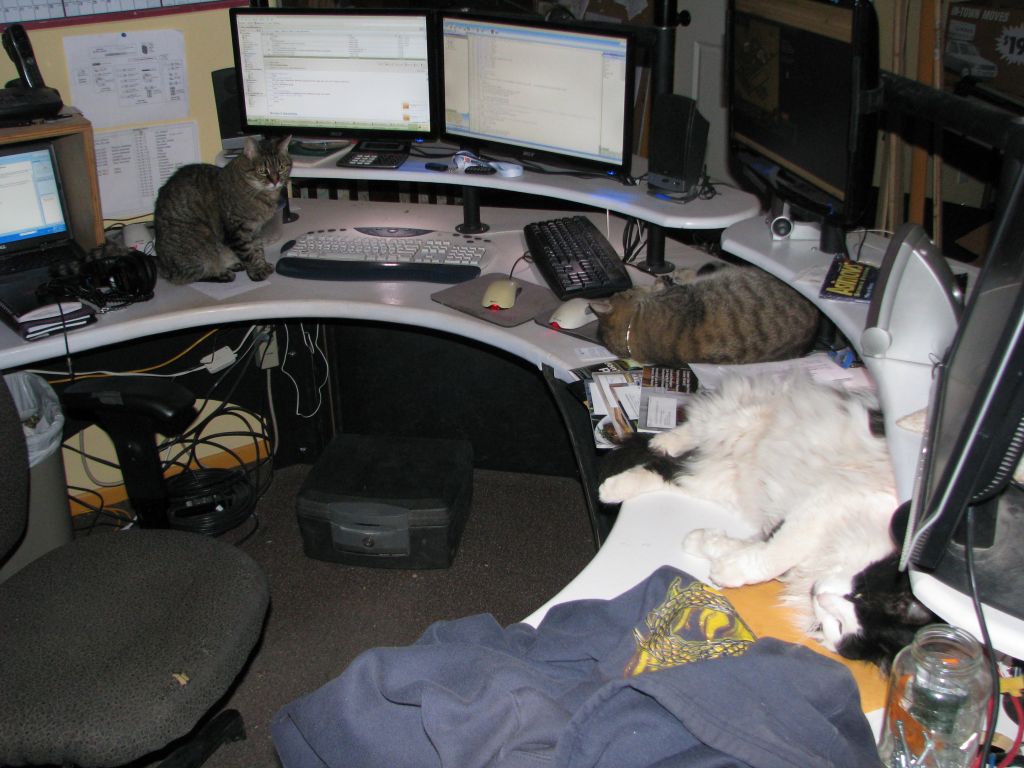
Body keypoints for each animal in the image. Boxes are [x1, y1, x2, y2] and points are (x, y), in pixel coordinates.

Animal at [154, 135, 292, 286]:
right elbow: (249, 254)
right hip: (200, 239)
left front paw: (263, 265)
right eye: (262, 171)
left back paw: (234, 265)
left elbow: (257, 249)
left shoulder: (255, 230)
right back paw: (222, 274)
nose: (275, 181)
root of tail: (162, 267)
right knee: (193, 275)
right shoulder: (237, 231)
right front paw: (257, 271)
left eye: (281, 167)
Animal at [598, 376, 937, 671]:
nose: (818, 593)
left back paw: (617, 485)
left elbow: (755, 547)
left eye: (839, 626)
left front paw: (704, 544)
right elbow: (779, 554)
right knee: (695, 427)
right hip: (742, 417)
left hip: (718, 480)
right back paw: (661, 442)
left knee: (668, 471)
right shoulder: (838, 500)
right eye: (860, 592)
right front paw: (727, 571)